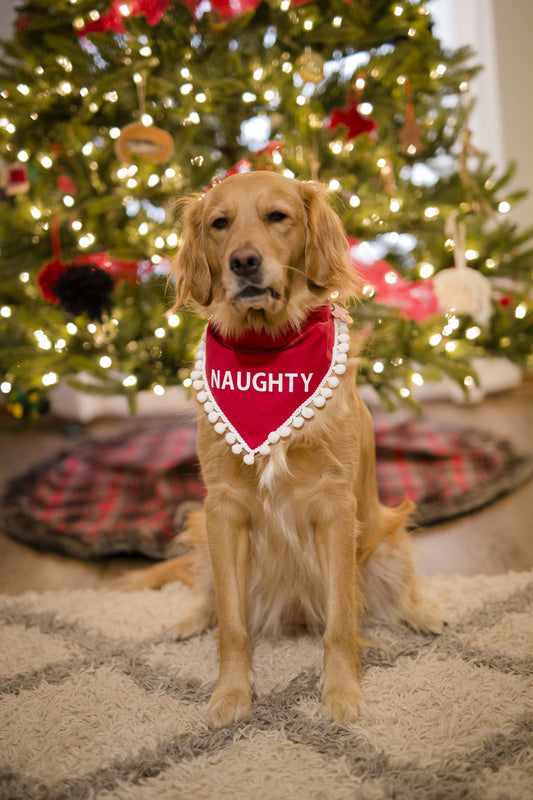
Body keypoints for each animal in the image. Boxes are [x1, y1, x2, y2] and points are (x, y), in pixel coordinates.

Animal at [125, 172, 440, 728]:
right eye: (219, 223)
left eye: (278, 216)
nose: (244, 262)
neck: (267, 347)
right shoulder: (222, 508)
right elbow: (232, 624)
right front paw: (231, 694)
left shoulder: (335, 507)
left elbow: (340, 621)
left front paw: (341, 693)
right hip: (203, 533)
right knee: (207, 594)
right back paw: (189, 619)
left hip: (388, 537)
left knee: (397, 593)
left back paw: (423, 615)